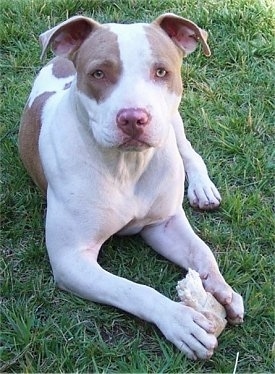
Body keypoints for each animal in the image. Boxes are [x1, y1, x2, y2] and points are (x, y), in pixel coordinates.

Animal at [18, 13, 245, 360]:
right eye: (98, 73)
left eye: (161, 71)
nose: (133, 118)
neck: (126, 166)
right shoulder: (71, 259)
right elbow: (133, 290)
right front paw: (179, 320)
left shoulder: (164, 224)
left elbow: (203, 253)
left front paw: (223, 289)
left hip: (173, 121)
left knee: (188, 150)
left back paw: (202, 188)